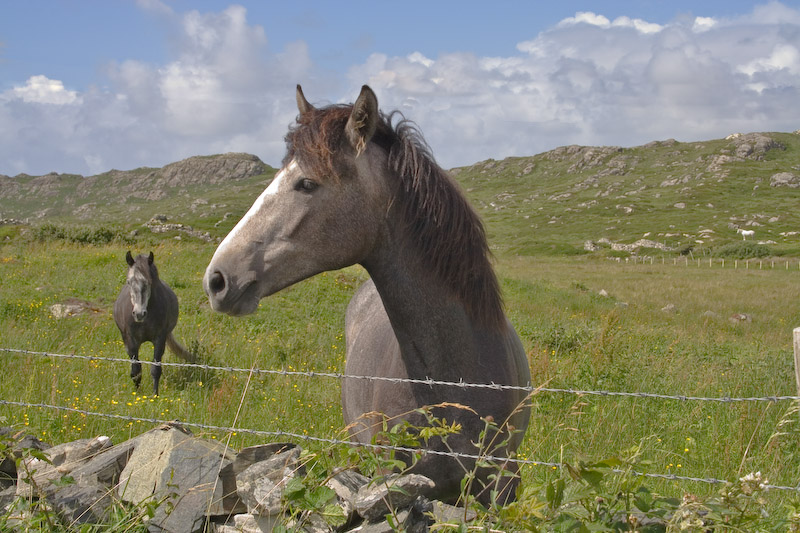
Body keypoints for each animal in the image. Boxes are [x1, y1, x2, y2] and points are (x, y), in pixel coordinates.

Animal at [112, 250, 195, 394]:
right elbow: (136, 371)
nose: (139, 314)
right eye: (129, 281)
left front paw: (155, 395)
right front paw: (137, 394)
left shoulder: (160, 339)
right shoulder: (131, 341)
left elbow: (155, 369)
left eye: (148, 282)